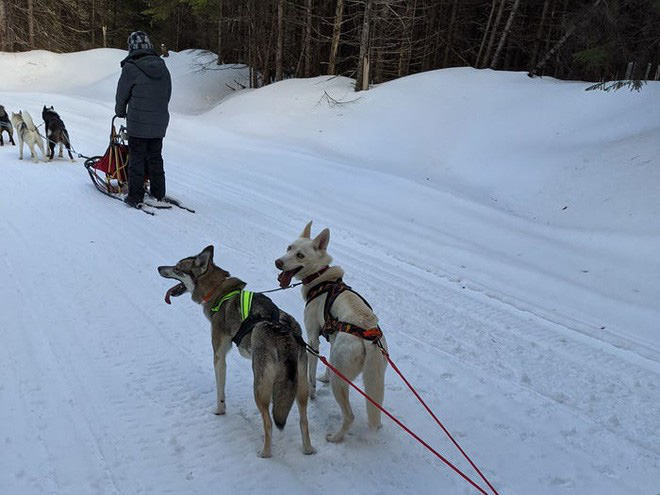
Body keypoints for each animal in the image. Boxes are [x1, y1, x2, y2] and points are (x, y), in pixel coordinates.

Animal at [159, 246, 316, 460]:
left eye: (176, 268)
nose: (159, 267)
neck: (218, 290)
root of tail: (286, 336)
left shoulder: (219, 355)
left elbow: (220, 390)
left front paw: (219, 410)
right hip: (300, 389)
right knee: (304, 421)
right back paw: (308, 450)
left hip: (259, 388)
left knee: (268, 423)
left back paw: (265, 453)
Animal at [276, 223, 390, 444]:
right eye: (289, 247)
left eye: (300, 255)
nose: (278, 262)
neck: (321, 280)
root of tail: (370, 336)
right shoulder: (332, 338)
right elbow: (326, 362)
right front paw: (324, 377)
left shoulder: (312, 339)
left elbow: (311, 372)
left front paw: (312, 392)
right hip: (370, 378)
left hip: (341, 382)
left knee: (350, 416)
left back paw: (336, 437)